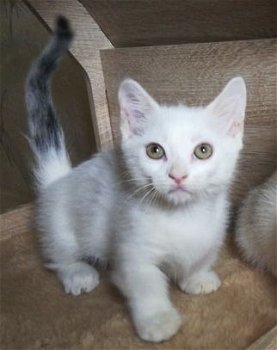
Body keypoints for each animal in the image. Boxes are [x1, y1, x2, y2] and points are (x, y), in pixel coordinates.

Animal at [25, 18, 246, 342]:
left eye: (203, 150)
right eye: (155, 151)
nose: (177, 175)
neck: (182, 217)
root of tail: (61, 178)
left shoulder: (213, 230)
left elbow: (203, 255)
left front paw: (197, 277)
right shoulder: (131, 248)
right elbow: (146, 284)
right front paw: (157, 320)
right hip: (59, 224)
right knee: (58, 254)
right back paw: (78, 272)